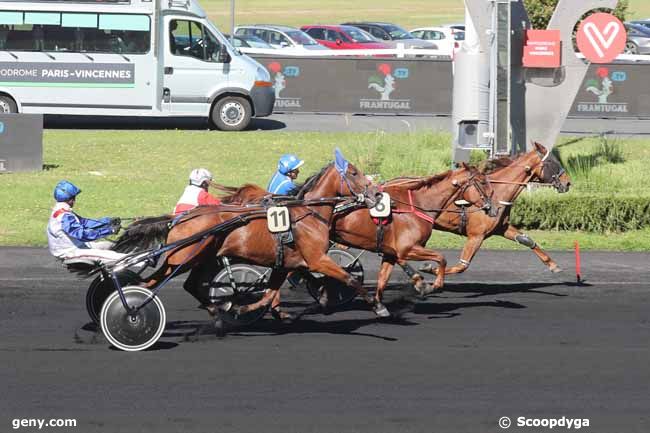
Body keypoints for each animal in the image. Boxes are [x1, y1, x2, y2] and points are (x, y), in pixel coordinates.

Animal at [112, 149, 380, 320]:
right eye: (354, 173)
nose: (376, 193)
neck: (308, 213)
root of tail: (179, 219)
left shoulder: (288, 263)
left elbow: (273, 292)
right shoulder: (317, 259)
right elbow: (350, 278)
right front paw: (378, 306)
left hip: (199, 259)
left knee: (182, 284)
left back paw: (216, 314)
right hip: (185, 258)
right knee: (151, 283)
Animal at [420, 143, 568, 276]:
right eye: (552, 161)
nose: (567, 183)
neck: (497, 193)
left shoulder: (501, 227)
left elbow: (526, 240)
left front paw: (553, 265)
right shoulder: (476, 235)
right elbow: (462, 266)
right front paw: (431, 269)